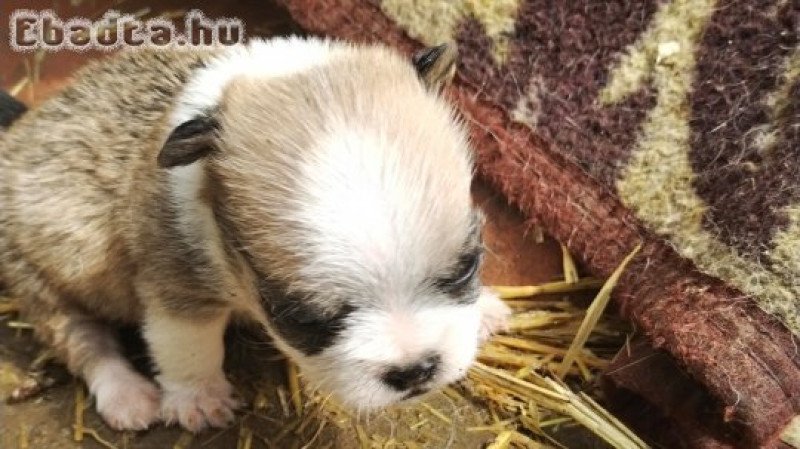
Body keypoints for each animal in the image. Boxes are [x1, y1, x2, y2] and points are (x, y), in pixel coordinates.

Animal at [0, 37, 512, 430]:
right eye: (300, 318)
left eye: (467, 267)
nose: (415, 370)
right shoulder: (176, 289)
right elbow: (187, 346)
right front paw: (198, 398)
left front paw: (483, 308)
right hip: (40, 278)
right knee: (83, 341)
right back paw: (127, 394)